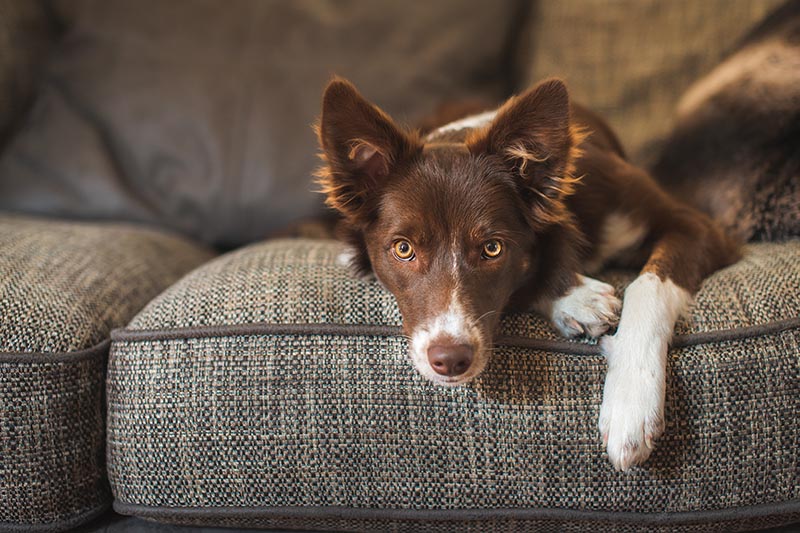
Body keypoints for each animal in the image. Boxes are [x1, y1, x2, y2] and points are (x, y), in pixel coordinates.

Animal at [316, 78, 740, 470]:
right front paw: (576, 300)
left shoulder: (697, 226)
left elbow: (647, 287)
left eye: (492, 248)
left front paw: (631, 404)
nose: (450, 360)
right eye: (403, 249)